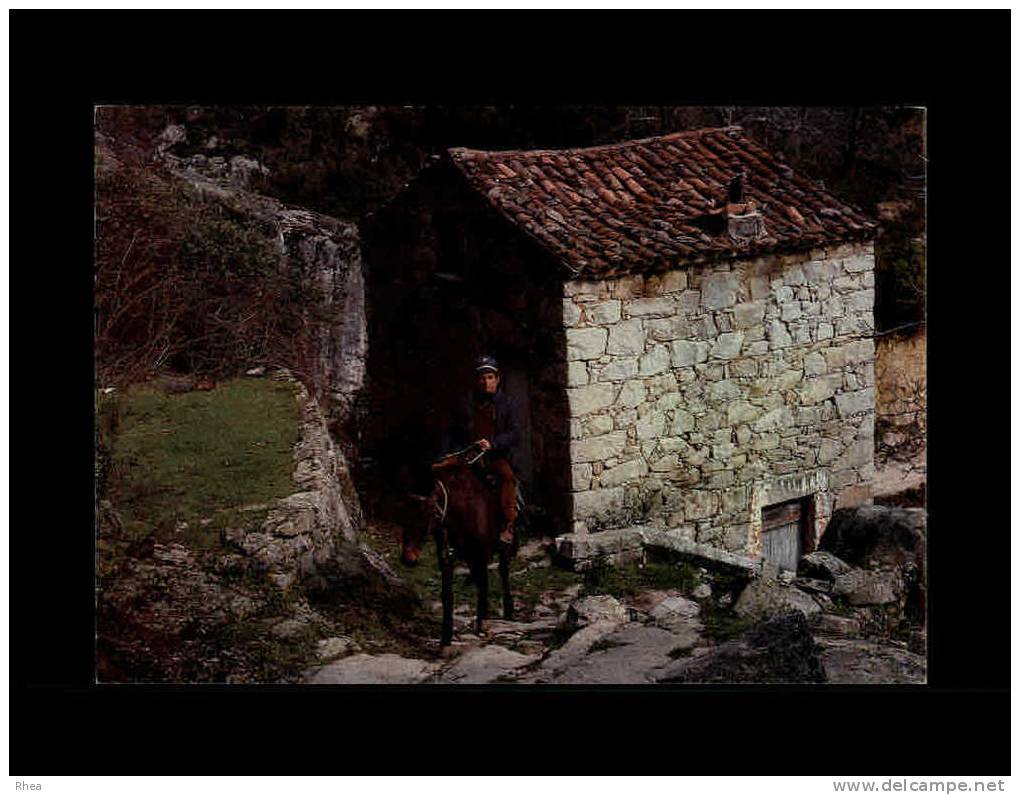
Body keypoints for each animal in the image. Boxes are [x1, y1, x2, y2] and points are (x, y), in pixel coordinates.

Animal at [399, 451, 514, 649]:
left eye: (427, 509)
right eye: (405, 508)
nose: (408, 558)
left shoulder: (481, 551)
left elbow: (484, 583)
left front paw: (482, 625)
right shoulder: (446, 557)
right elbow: (447, 594)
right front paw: (445, 640)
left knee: (503, 570)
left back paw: (508, 608)